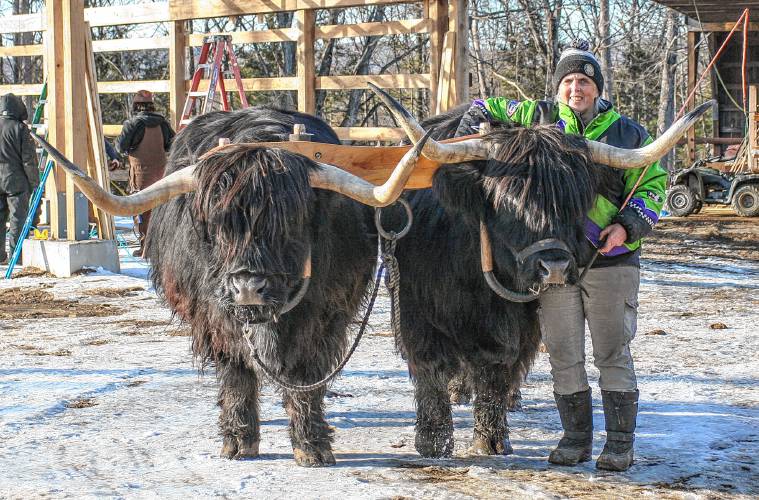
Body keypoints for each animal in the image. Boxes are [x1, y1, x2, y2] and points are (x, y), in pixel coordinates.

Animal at [34, 106, 428, 468]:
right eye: (216, 224)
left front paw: (311, 444)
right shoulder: (212, 321)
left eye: (289, 222)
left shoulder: (326, 318)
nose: (248, 288)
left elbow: (306, 377)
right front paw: (239, 441)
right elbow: (236, 376)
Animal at [372, 85, 716, 458]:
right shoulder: (416, 308)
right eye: (508, 200)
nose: (555, 267)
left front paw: (491, 439)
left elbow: (497, 369)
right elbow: (430, 367)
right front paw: (433, 441)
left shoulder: (514, 322)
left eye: (575, 201)